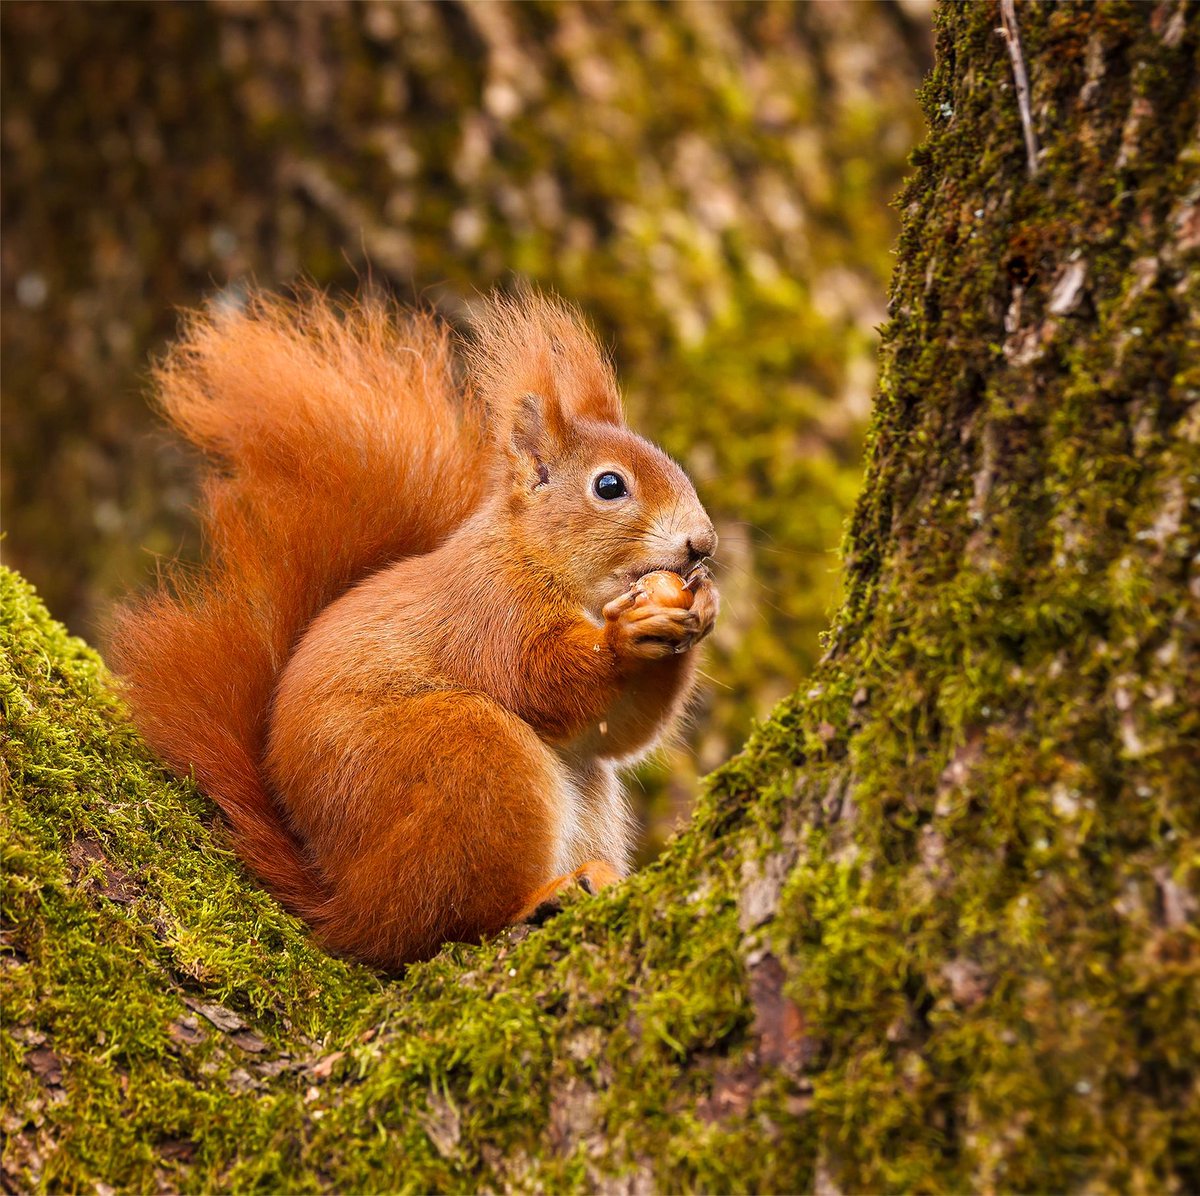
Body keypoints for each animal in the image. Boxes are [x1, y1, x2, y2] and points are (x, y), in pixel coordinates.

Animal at [108, 289, 715, 969]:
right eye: (609, 485)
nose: (703, 544)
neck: (538, 559)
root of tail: (346, 906)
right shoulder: (490, 613)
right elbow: (541, 682)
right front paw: (624, 637)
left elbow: (619, 732)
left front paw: (701, 609)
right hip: (469, 759)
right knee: (443, 925)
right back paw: (539, 898)